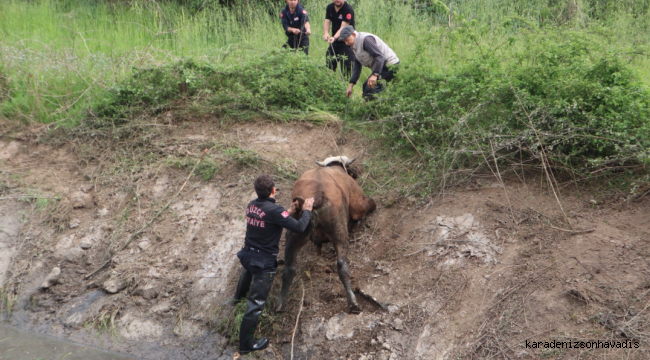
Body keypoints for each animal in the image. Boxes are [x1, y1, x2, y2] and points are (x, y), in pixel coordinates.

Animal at [274, 156, 374, 314]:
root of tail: (317, 199)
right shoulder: (358, 202)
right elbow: (370, 205)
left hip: (294, 236)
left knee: (289, 268)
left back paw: (279, 304)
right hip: (340, 233)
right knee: (341, 265)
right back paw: (352, 301)